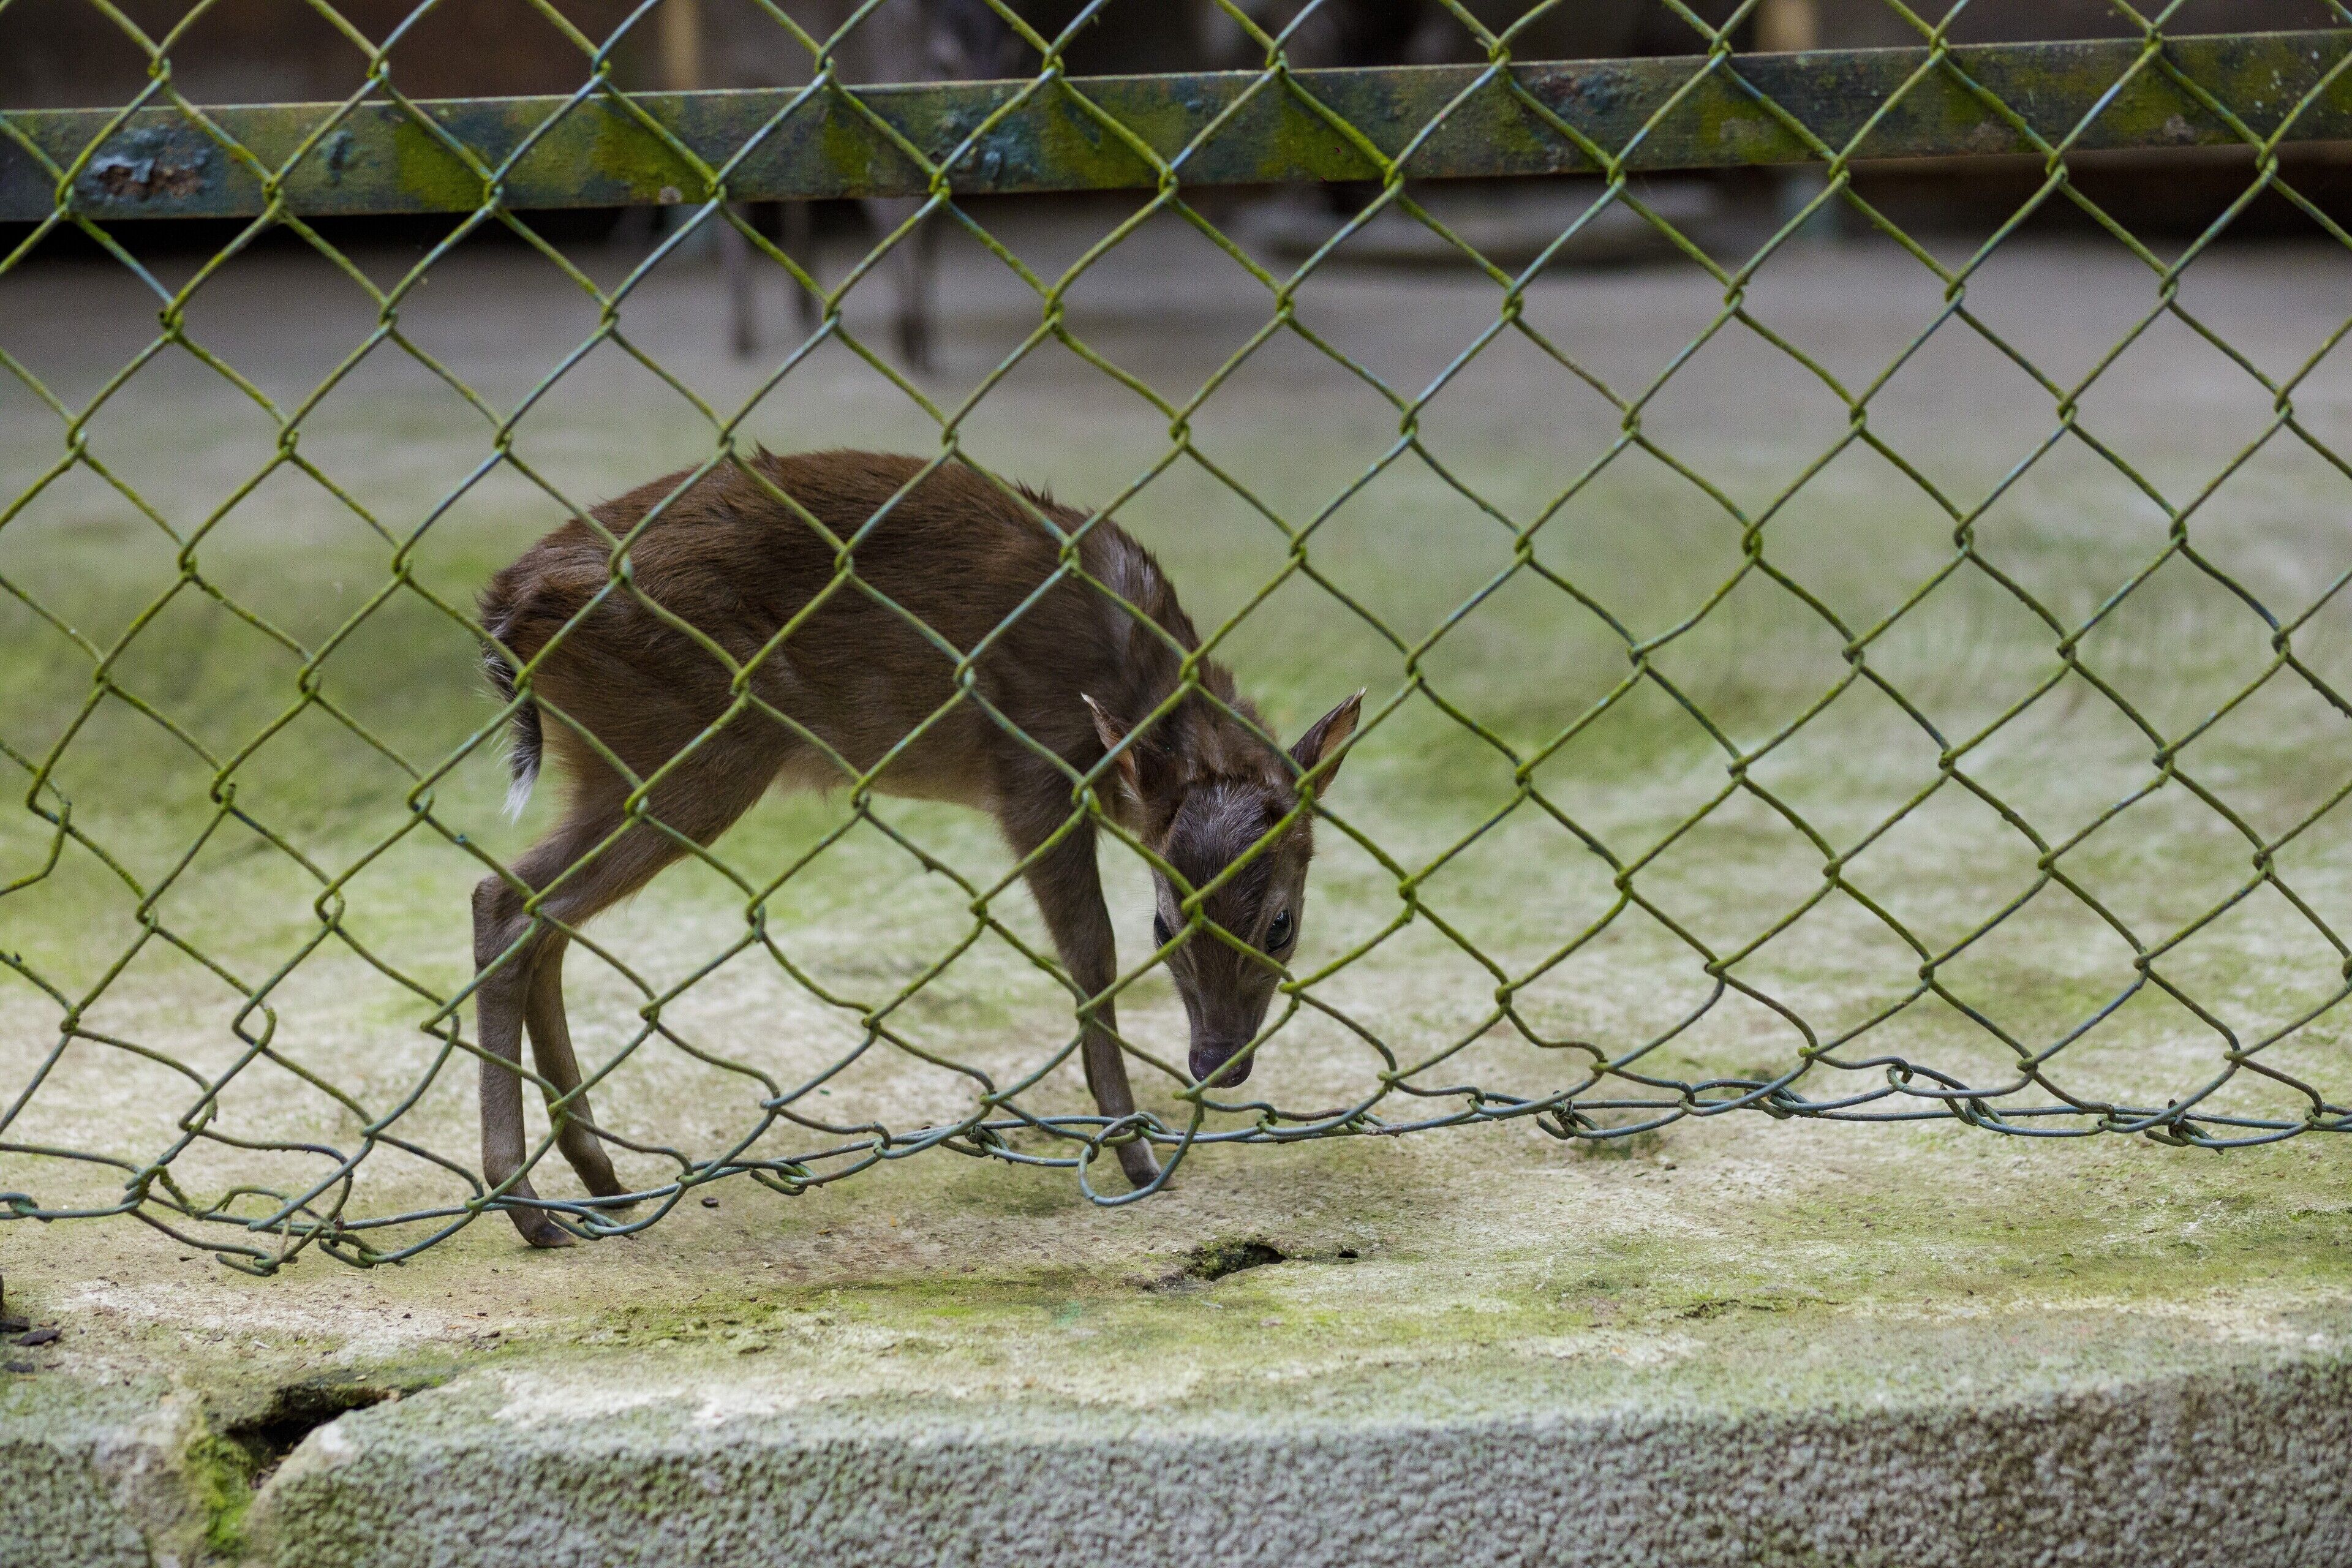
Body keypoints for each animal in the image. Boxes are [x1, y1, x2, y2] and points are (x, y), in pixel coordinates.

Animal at [472, 449, 1362, 1248]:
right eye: (1165, 926)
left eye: (1281, 924)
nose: (1218, 1062)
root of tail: (506, 608)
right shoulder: (1033, 769)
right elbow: (1092, 952)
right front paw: (1136, 1155)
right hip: (694, 742)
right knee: (509, 902)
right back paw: (528, 1204)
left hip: (624, 757)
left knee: (536, 913)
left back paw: (600, 1180)